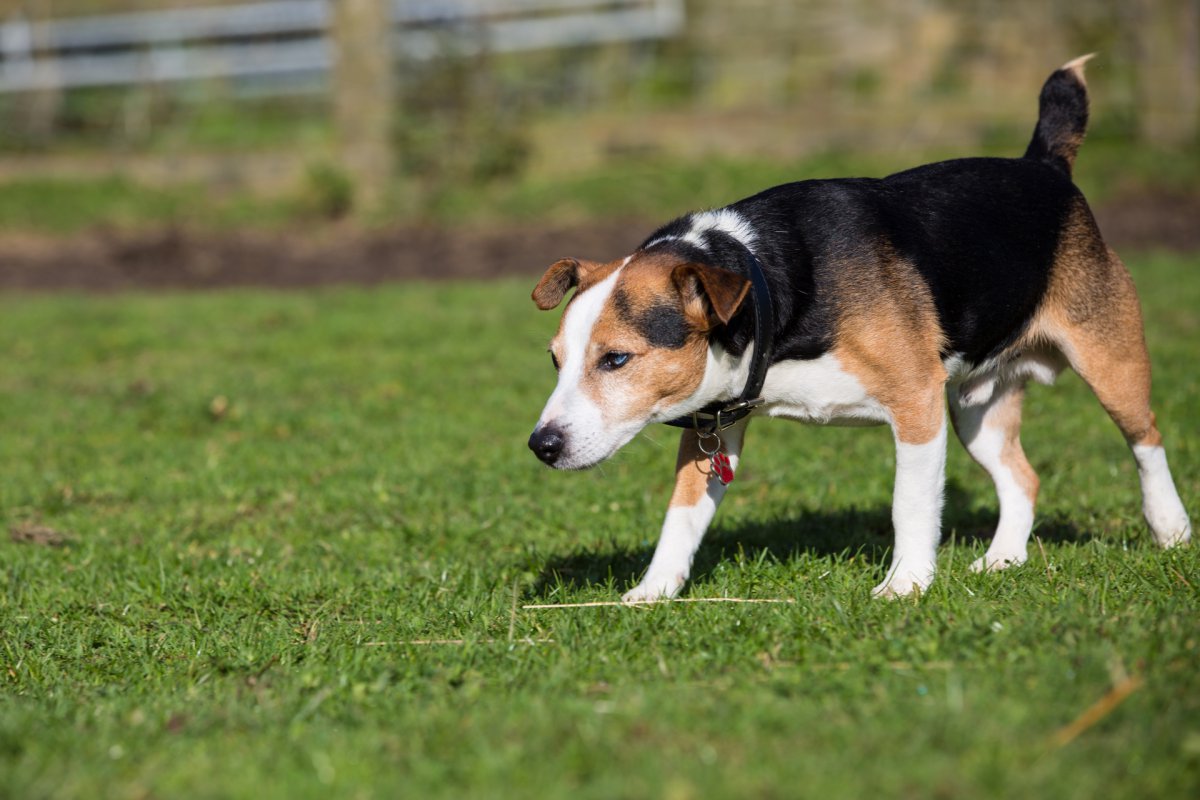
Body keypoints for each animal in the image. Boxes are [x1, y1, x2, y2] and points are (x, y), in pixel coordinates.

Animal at [528, 59, 1190, 599]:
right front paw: (654, 591)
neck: (770, 281)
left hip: (1109, 363)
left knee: (1147, 439)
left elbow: (911, 505)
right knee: (1022, 478)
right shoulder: (713, 427)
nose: (541, 445)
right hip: (975, 409)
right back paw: (1003, 559)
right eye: (556, 360)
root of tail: (1044, 165)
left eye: (616, 359)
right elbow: (681, 517)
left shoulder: (917, 403)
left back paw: (1172, 529)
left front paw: (907, 585)